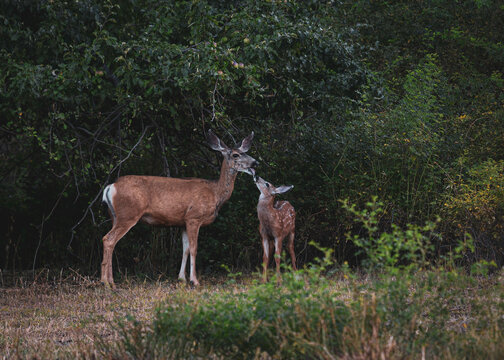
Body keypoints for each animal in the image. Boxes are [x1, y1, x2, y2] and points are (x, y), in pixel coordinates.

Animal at [101, 131, 258, 288]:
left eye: (246, 152)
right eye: (236, 155)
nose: (255, 162)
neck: (215, 193)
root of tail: (111, 186)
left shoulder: (183, 222)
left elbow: (185, 249)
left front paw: (182, 278)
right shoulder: (194, 217)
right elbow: (194, 248)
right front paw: (194, 280)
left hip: (115, 216)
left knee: (110, 241)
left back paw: (109, 281)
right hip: (128, 215)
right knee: (108, 239)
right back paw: (107, 283)